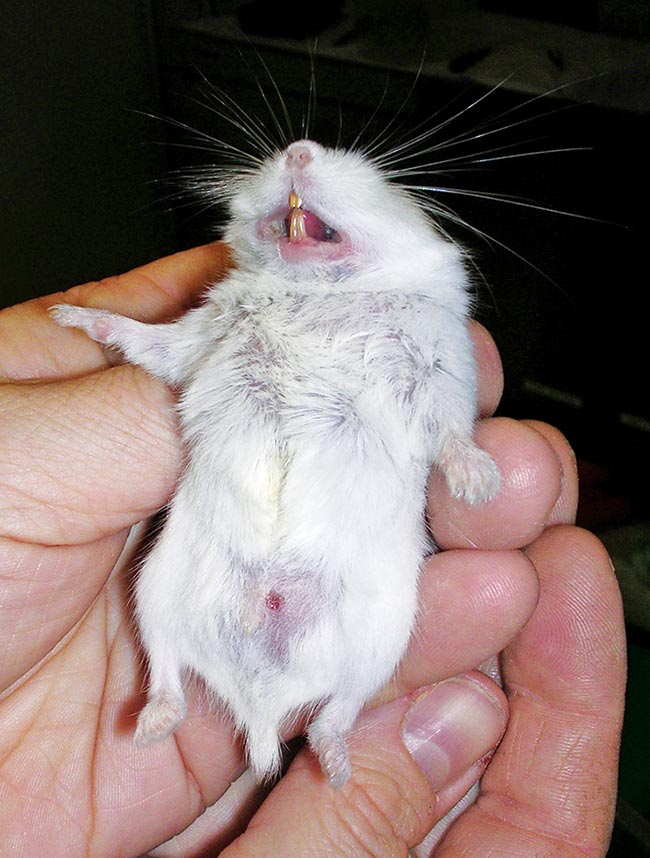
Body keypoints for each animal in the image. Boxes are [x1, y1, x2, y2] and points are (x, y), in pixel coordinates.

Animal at [50, 137, 498, 784]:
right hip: (156, 592)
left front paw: (480, 486)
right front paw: (72, 315)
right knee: (169, 676)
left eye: (384, 183)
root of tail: (260, 698)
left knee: (336, 710)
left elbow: (452, 430)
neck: (319, 294)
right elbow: (151, 342)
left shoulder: (443, 366)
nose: (298, 150)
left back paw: (335, 770)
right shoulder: (200, 331)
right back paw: (148, 729)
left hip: (380, 638)